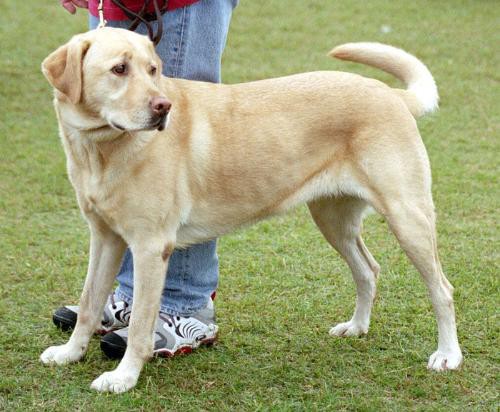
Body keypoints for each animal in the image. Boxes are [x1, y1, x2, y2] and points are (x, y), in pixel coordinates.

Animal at [41, 27, 462, 392]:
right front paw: (70, 353)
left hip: (407, 218)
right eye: (119, 69)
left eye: (153, 70)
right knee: (368, 270)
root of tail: (391, 94)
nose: (163, 107)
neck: (101, 149)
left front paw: (124, 377)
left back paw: (448, 355)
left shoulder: (150, 246)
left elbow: (141, 325)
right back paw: (357, 327)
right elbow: (88, 302)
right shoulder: (105, 238)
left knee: (441, 289)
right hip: (333, 221)